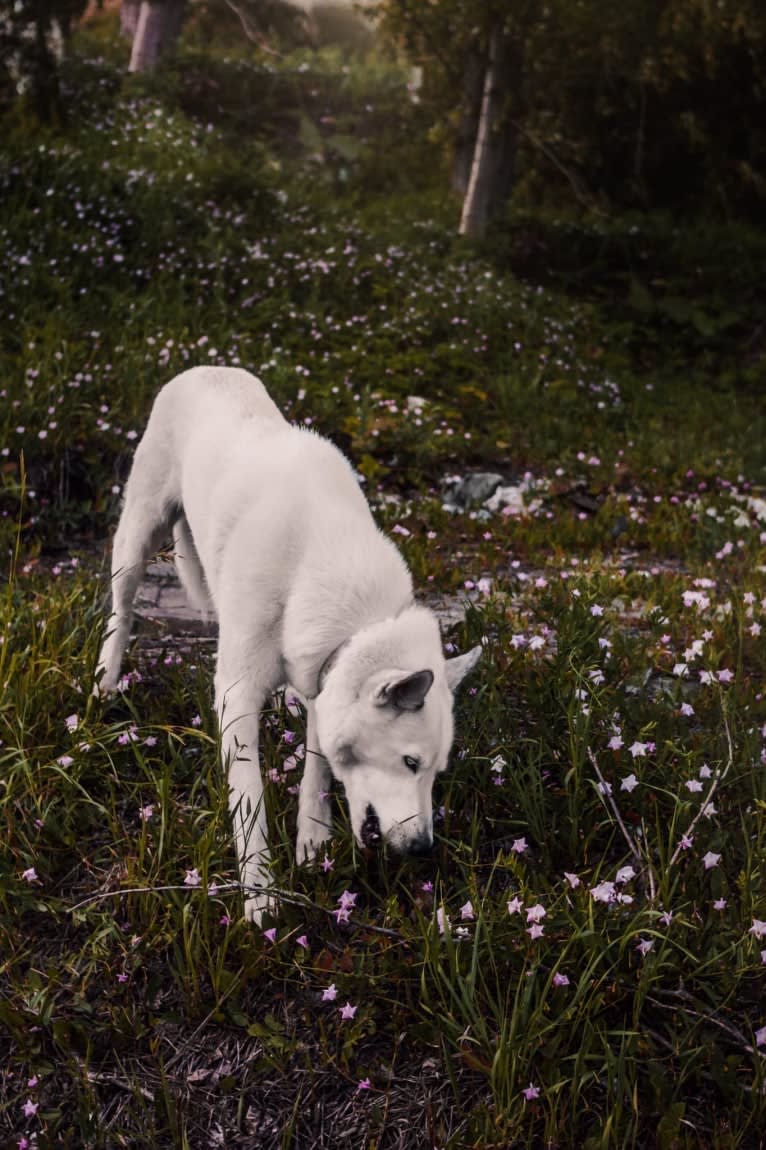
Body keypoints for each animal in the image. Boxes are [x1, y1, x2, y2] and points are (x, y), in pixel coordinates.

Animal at [95, 368, 478, 924]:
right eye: (410, 763)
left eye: (435, 771)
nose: (422, 850)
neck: (316, 566)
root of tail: (207, 368)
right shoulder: (236, 697)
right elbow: (250, 802)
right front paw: (260, 896)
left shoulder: (321, 675)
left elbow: (317, 770)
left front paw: (312, 846)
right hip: (138, 536)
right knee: (121, 610)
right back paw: (104, 682)